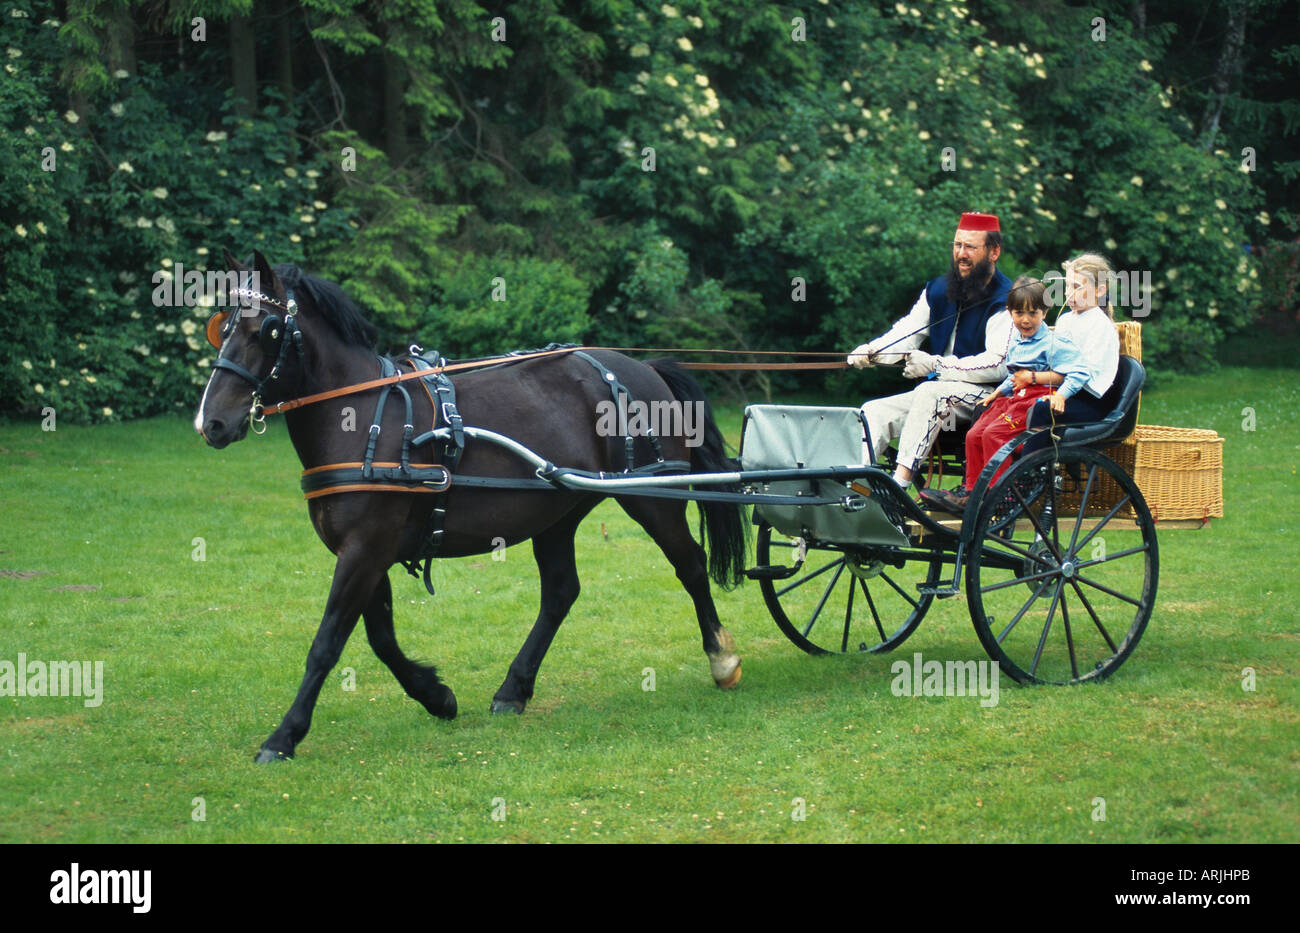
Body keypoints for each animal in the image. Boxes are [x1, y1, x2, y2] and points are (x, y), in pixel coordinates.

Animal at [189, 252, 743, 764]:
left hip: (651, 496)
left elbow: (327, 642)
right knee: (561, 591)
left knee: (691, 565)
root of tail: (643, 368)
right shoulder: (366, 551)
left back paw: (721, 658)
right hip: (559, 510)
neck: (363, 416)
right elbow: (380, 638)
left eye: (266, 330)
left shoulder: (365, 549)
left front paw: (284, 736)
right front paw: (436, 696)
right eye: (223, 328)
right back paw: (513, 689)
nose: (210, 423)